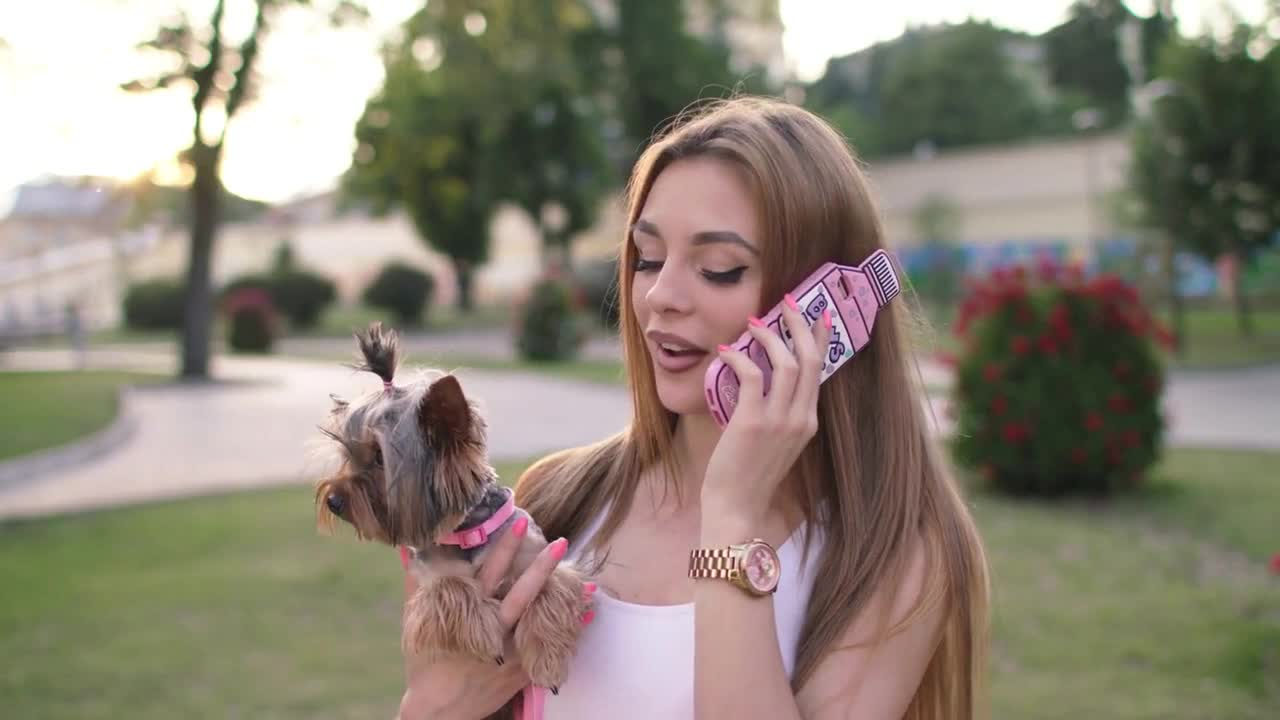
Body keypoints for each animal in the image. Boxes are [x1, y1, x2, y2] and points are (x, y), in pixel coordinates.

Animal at [312, 320, 591, 712]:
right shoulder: (426, 581)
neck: (466, 531)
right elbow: (450, 587)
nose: (334, 500)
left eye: (380, 457)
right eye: (347, 455)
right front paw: (487, 635)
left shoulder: (542, 557)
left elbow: (552, 588)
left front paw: (547, 661)